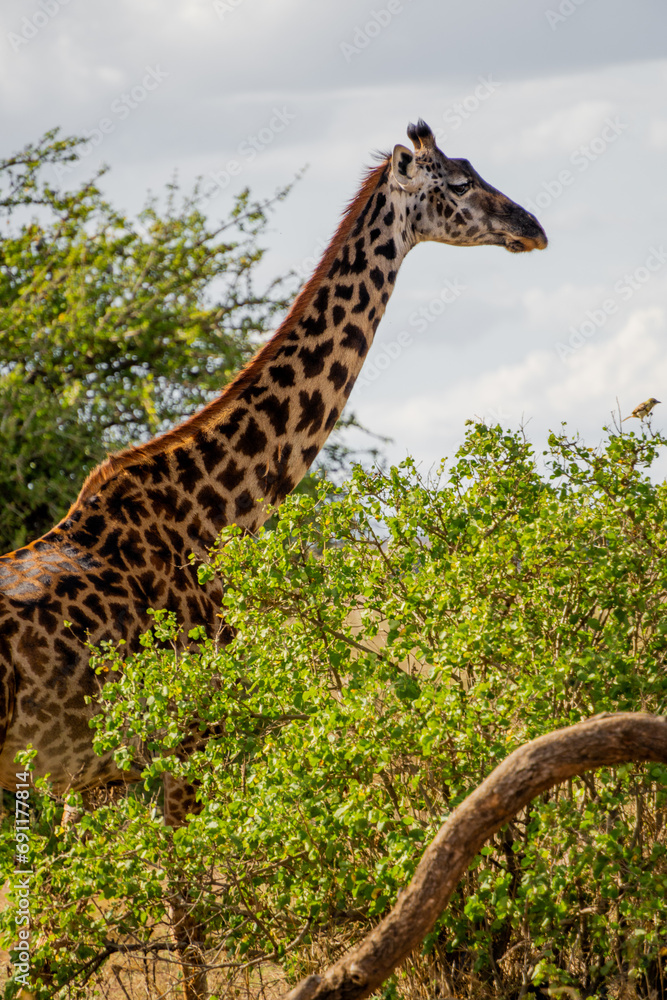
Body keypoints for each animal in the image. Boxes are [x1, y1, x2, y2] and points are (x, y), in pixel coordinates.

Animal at [0, 120, 547, 997]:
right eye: (458, 185)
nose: (531, 225)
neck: (214, 516)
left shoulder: (88, 776)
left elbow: (59, 936)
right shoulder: (185, 753)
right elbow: (188, 934)